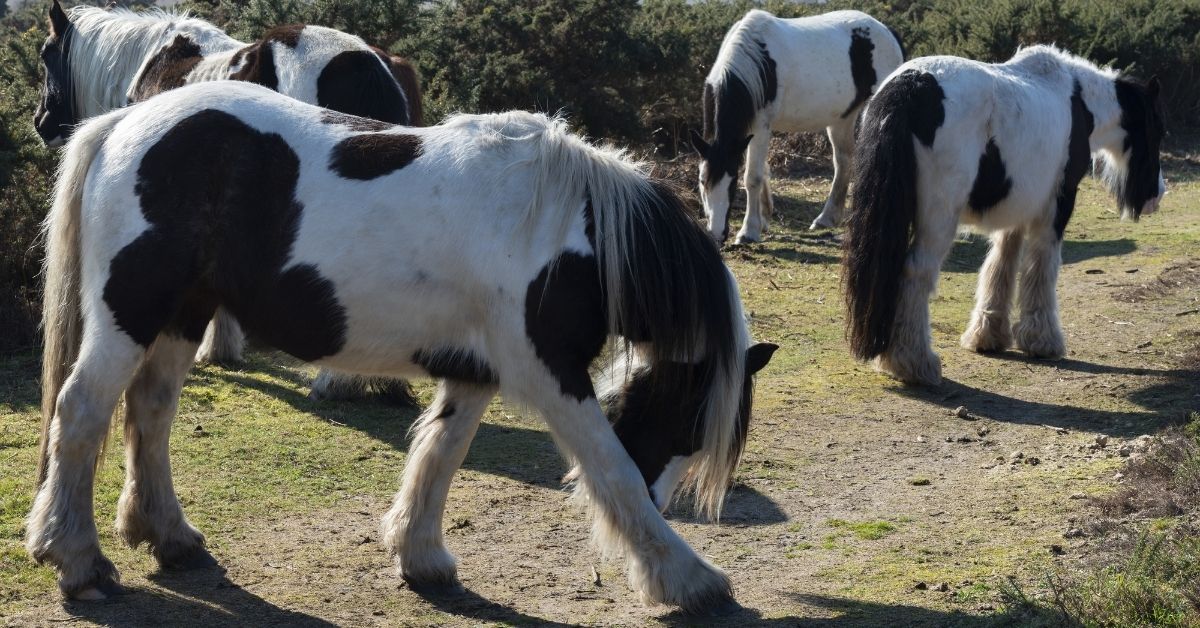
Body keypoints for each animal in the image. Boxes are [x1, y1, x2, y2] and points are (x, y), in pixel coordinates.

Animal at [28, 79, 782, 614]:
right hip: (130, 313)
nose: (664, 498)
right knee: (82, 413)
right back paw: (77, 561)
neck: (572, 231)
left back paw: (168, 536)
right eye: (690, 420)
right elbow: (611, 470)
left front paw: (420, 557)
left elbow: (440, 453)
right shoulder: (551, 375)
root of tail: (124, 124)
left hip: (184, 315)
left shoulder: (475, 371)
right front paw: (687, 578)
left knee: (149, 411)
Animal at [691, 11, 902, 246]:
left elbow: (753, 177)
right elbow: (763, 171)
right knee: (843, 161)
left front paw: (749, 231)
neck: (757, 62)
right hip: (842, 119)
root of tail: (887, 31)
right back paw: (827, 218)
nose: (716, 234)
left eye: (732, 182)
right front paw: (764, 218)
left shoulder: (760, 126)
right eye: (702, 181)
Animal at [844, 45, 1161, 389]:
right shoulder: (1057, 206)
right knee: (916, 273)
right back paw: (914, 363)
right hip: (938, 221)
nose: (1156, 196)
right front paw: (1043, 340)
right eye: (1156, 132)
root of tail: (910, 87)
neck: (1077, 101)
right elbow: (1042, 267)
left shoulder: (1017, 208)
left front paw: (988, 334)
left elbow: (1001, 263)